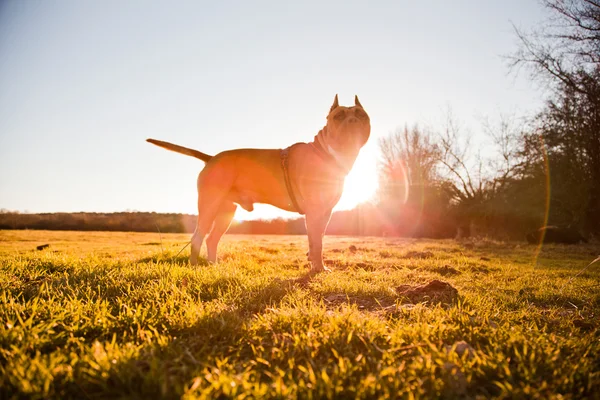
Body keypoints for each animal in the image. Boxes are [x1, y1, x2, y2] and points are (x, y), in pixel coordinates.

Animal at [147, 95, 368, 274]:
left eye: (361, 114)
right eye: (338, 116)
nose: (353, 121)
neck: (327, 153)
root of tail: (211, 158)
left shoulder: (324, 213)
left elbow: (317, 240)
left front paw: (315, 264)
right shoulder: (314, 212)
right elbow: (317, 243)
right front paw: (318, 268)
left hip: (226, 212)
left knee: (211, 239)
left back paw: (213, 265)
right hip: (209, 207)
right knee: (197, 238)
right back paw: (194, 267)